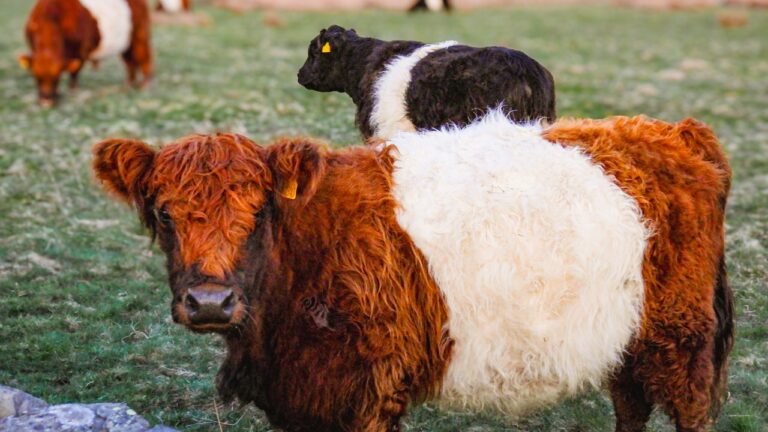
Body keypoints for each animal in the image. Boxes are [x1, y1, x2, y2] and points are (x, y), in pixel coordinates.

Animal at [19, 0, 153, 107]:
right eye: (36, 77)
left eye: (57, 78)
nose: (46, 101)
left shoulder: (80, 53)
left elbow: (74, 73)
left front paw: (72, 89)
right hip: (127, 46)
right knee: (130, 64)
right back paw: (129, 84)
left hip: (140, 38)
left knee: (145, 60)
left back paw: (145, 85)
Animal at [93, 112, 733, 432]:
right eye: (165, 214)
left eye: (259, 211)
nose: (209, 302)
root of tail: (667, 130)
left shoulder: (368, 392)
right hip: (625, 333)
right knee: (630, 403)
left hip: (679, 335)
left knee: (687, 407)